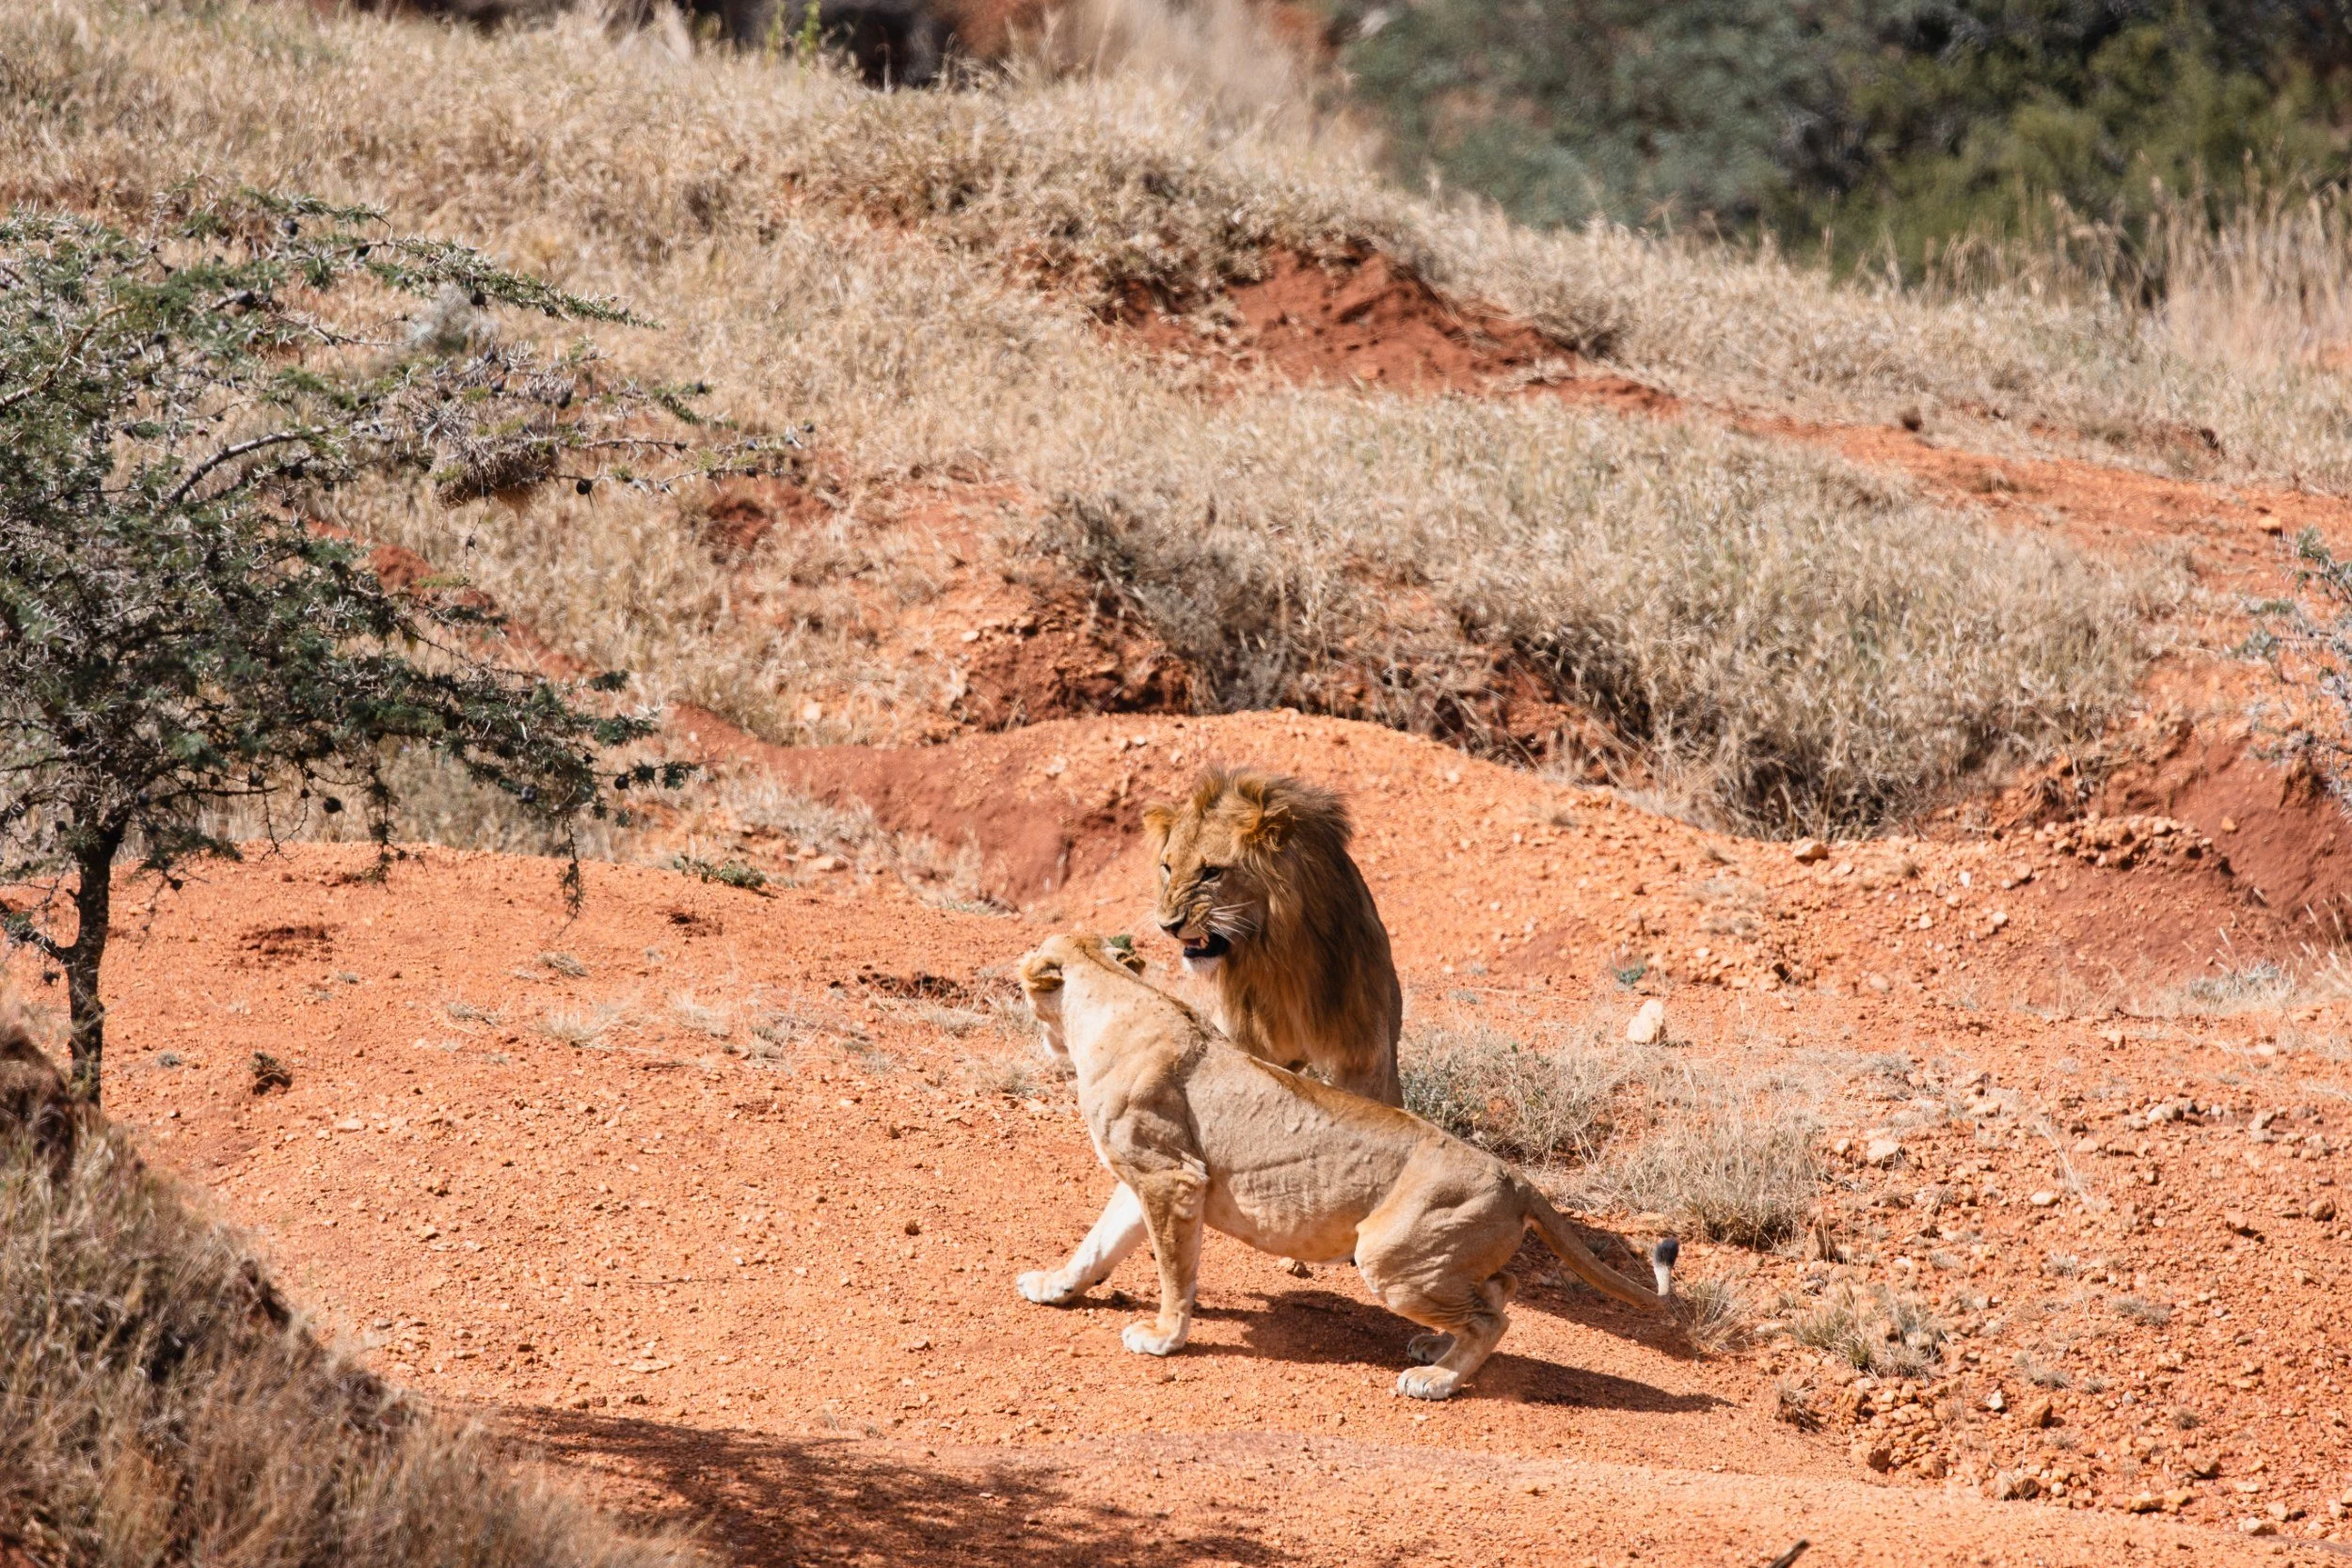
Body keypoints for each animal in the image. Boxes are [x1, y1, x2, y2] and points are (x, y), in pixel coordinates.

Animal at [1013, 934, 1676, 1400]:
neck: (1110, 1003)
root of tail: (1519, 1181)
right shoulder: (1145, 1178)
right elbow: (1096, 1245)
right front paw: (1054, 1287)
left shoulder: (1173, 1179)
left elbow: (1175, 1272)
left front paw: (1162, 1338)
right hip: (1430, 1256)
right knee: (1499, 1289)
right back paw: (1435, 1348)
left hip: (1388, 1253)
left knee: (1492, 1317)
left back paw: (1436, 1380)